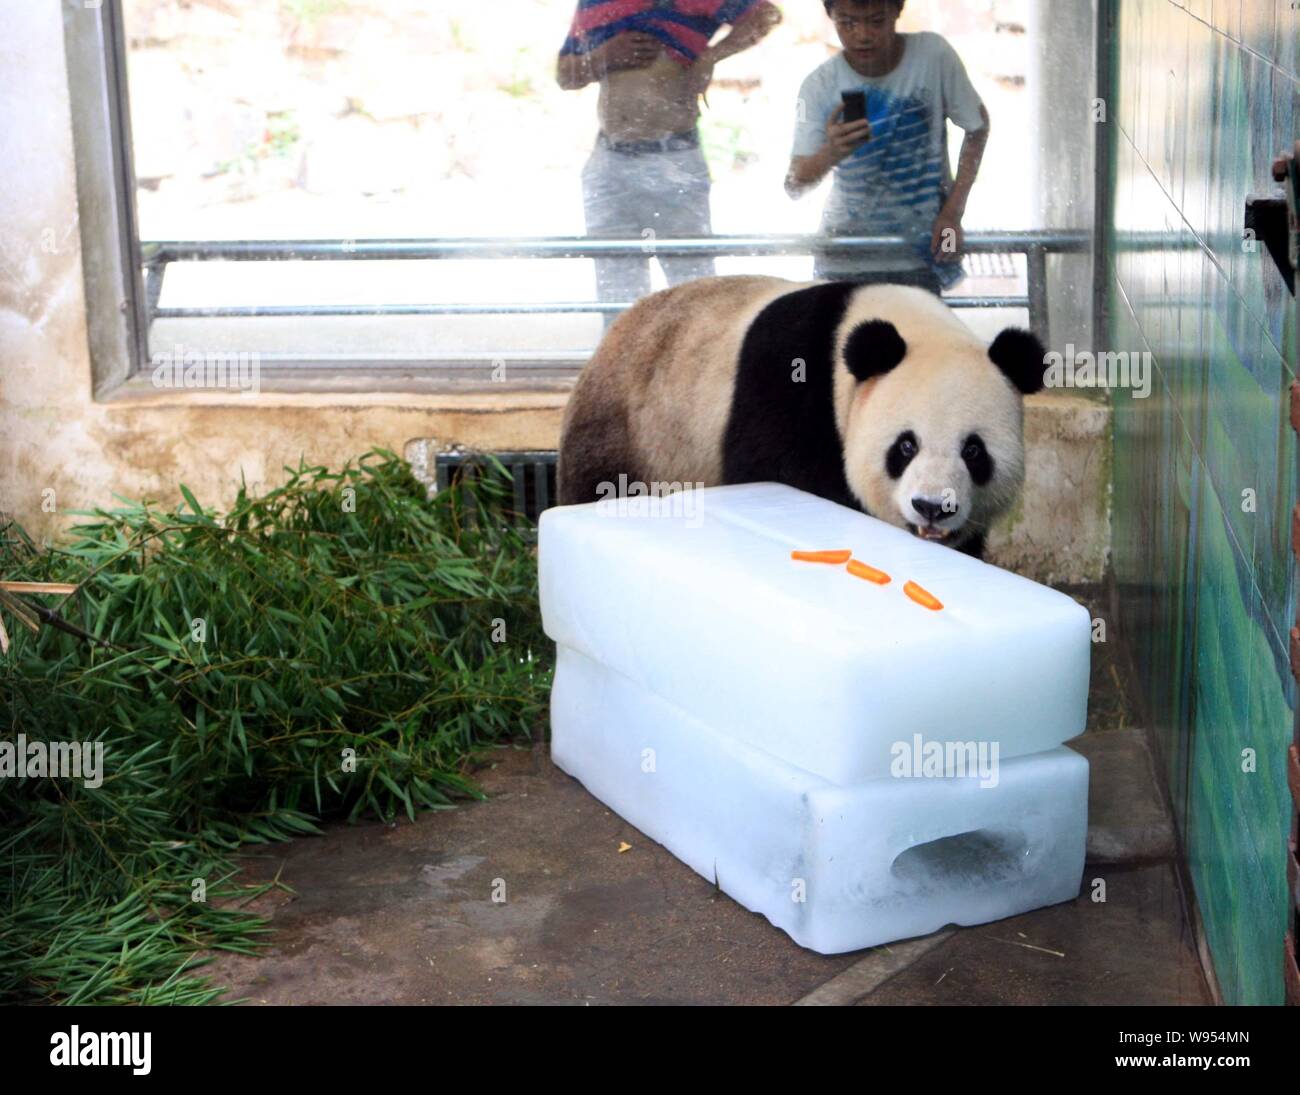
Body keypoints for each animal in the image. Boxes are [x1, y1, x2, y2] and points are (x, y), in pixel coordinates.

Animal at [557, 275, 1046, 560]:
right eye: (906, 446)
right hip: (629, 428)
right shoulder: (787, 388)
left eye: (974, 452)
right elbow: (782, 474)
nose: (932, 507)